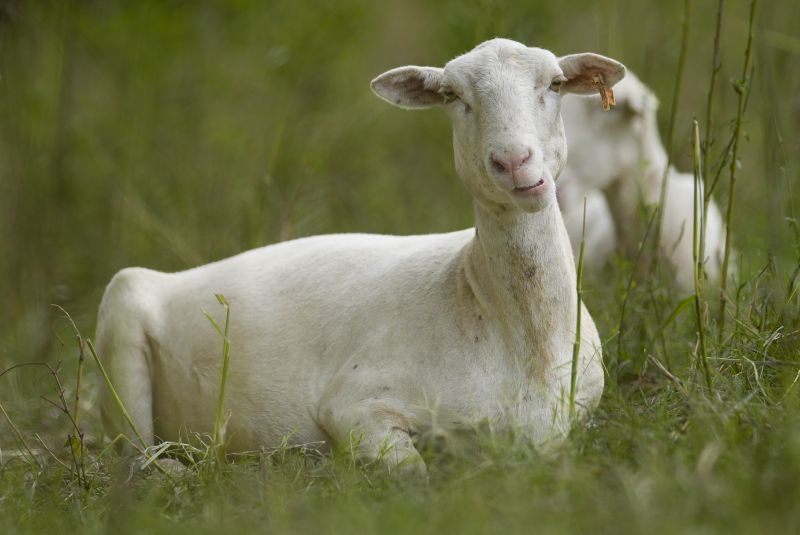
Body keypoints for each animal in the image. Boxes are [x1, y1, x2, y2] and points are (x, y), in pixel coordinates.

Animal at [95, 39, 624, 480]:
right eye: (452, 95)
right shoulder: (355, 405)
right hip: (121, 326)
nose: (514, 162)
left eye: (554, 84)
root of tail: (175, 277)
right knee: (136, 457)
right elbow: (414, 474)